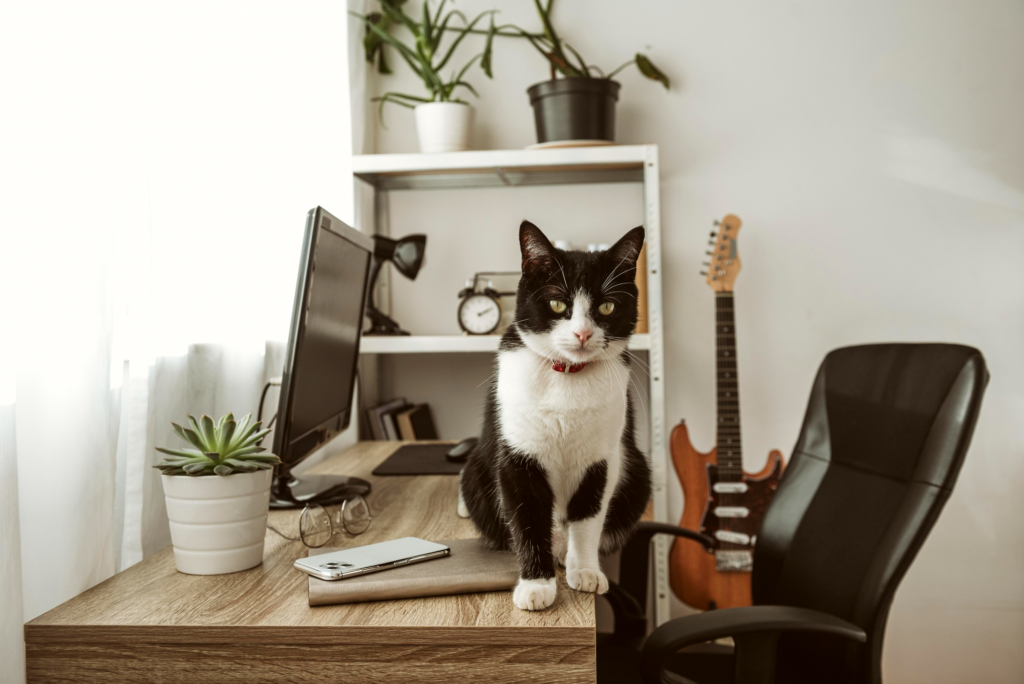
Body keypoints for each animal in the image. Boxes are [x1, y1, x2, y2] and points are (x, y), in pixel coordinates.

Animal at [460, 222, 651, 610]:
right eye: (557, 303)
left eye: (607, 306)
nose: (582, 333)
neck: (568, 376)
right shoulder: (517, 456)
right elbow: (528, 517)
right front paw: (537, 584)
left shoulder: (602, 459)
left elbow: (589, 517)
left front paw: (586, 570)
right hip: (473, 473)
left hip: (639, 473)